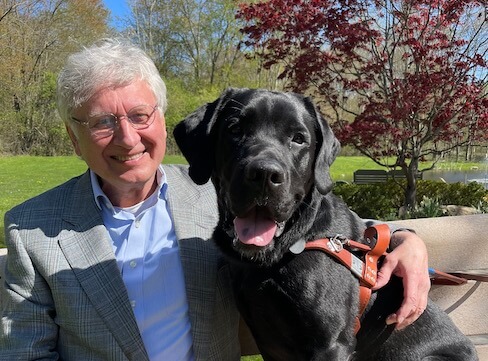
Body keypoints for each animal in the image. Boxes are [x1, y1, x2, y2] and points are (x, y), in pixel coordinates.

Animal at [173, 88, 478, 360]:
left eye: (298, 139)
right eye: (234, 129)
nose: (264, 174)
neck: (289, 247)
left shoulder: (330, 344)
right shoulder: (268, 341)